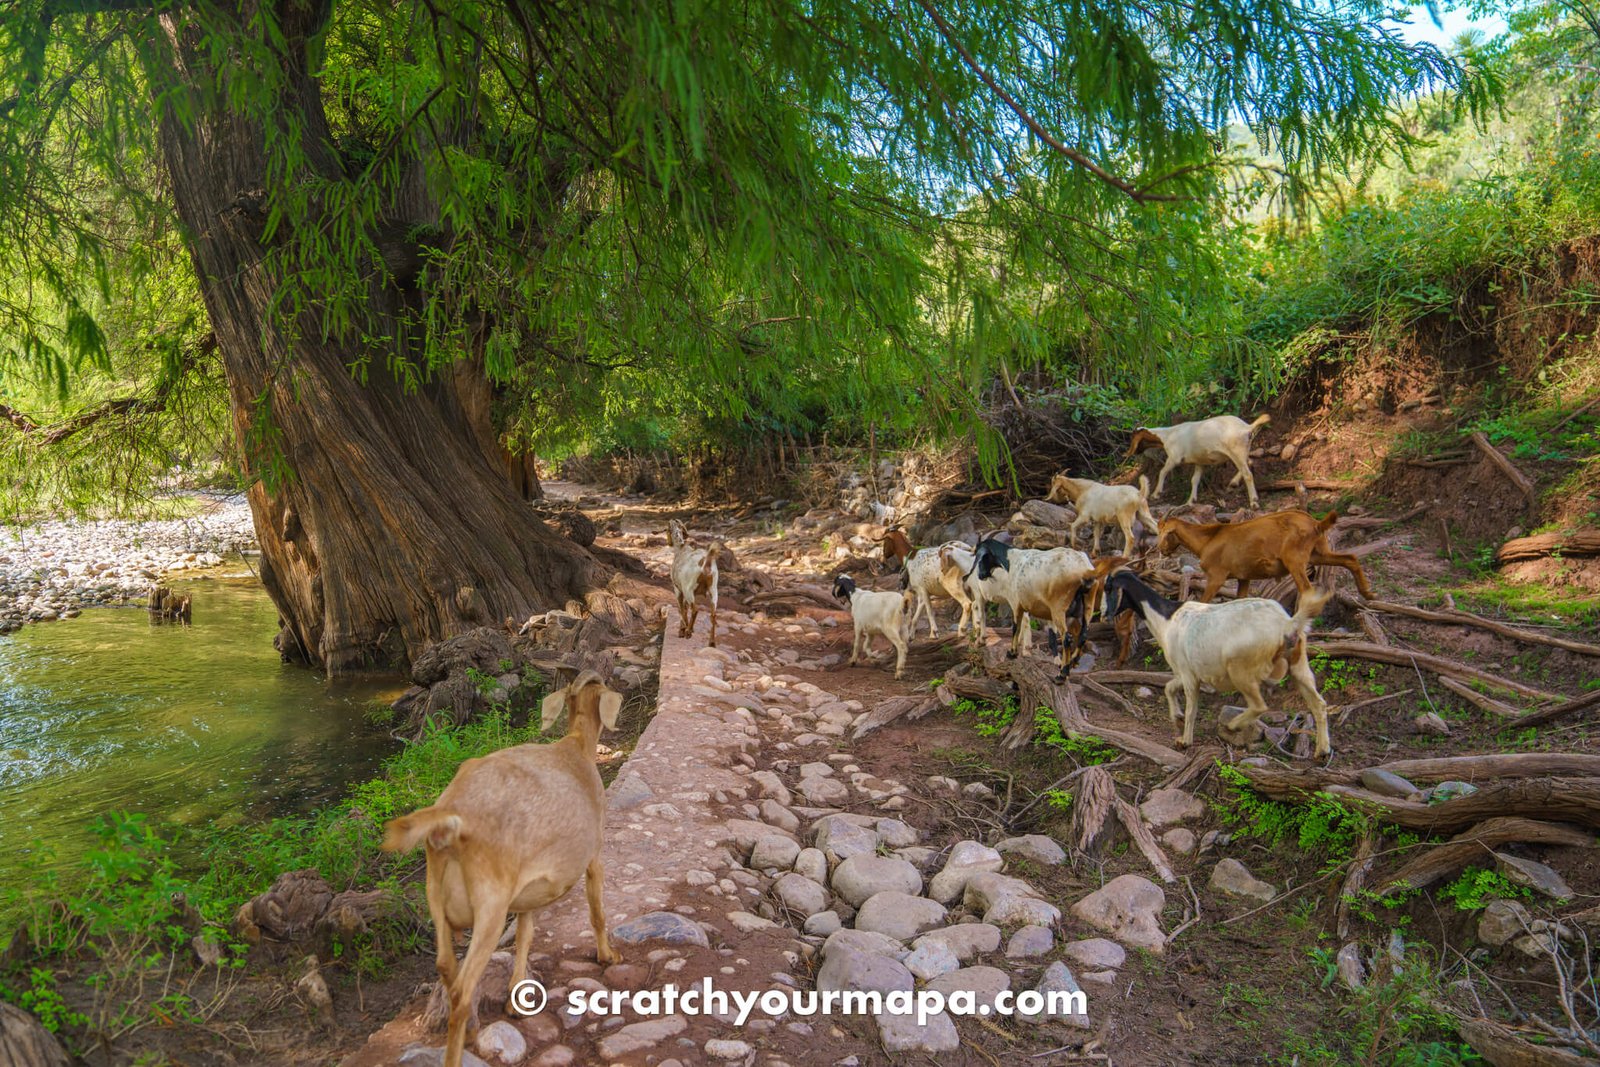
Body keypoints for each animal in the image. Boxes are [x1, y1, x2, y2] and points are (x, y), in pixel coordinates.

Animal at [377, 671, 620, 1067]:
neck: (577, 748)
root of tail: (451, 818)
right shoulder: (594, 855)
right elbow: (597, 909)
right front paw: (607, 955)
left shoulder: (526, 894)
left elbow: (525, 936)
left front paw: (516, 998)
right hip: (489, 906)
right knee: (462, 988)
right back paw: (456, 1052)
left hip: (435, 896)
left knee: (445, 968)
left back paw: (471, 1026)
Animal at [1100, 572, 1337, 755]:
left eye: (1108, 587)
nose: (1102, 614)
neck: (1167, 618)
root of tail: (1286, 624)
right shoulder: (1187, 672)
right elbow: (1168, 688)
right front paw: (1176, 717)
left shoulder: (1187, 674)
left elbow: (1191, 708)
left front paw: (1184, 740)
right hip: (1299, 665)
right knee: (1319, 704)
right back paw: (1322, 751)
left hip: (1241, 669)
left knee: (1259, 705)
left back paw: (1232, 725)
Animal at [1126, 412, 1273, 508]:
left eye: (1133, 437)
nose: (1129, 453)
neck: (1167, 436)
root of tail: (1247, 427)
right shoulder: (1199, 462)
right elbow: (1194, 480)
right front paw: (1191, 501)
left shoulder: (1174, 457)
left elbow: (1162, 472)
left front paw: (1156, 493)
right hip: (1242, 451)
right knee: (1249, 463)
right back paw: (1233, 483)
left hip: (1236, 451)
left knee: (1248, 474)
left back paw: (1254, 501)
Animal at [1152, 508, 1376, 601]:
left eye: (1164, 534)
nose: (1161, 550)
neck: (1208, 539)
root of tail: (1315, 524)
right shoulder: (1243, 577)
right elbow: (1239, 601)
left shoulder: (1217, 575)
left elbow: (1203, 602)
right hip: (1317, 553)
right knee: (1350, 559)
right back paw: (1368, 593)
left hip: (1294, 559)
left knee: (1306, 590)